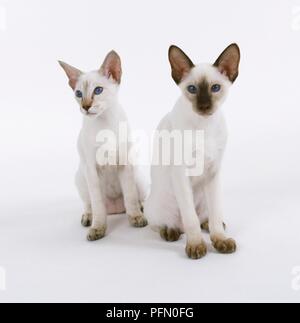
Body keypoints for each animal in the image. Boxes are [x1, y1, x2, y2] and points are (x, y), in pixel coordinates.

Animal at [58, 50, 148, 242]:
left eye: (98, 90)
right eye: (78, 94)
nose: (85, 106)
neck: (104, 122)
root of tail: (115, 209)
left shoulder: (124, 164)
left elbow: (130, 197)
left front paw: (136, 218)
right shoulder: (92, 169)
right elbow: (98, 205)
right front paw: (98, 229)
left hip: (138, 176)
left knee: (137, 199)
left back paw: (141, 209)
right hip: (81, 178)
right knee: (90, 204)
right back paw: (88, 218)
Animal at [144, 43, 240, 260]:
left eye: (215, 88)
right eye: (192, 89)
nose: (204, 106)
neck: (204, 126)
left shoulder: (213, 171)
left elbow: (215, 216)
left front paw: (219, 240)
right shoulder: (181, 173)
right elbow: (191, 219)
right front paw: (196, 245)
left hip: (206, 195)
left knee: (208, 217)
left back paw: (211, 226)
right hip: (161, 202)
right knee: (167, 224)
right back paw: (170, 231)